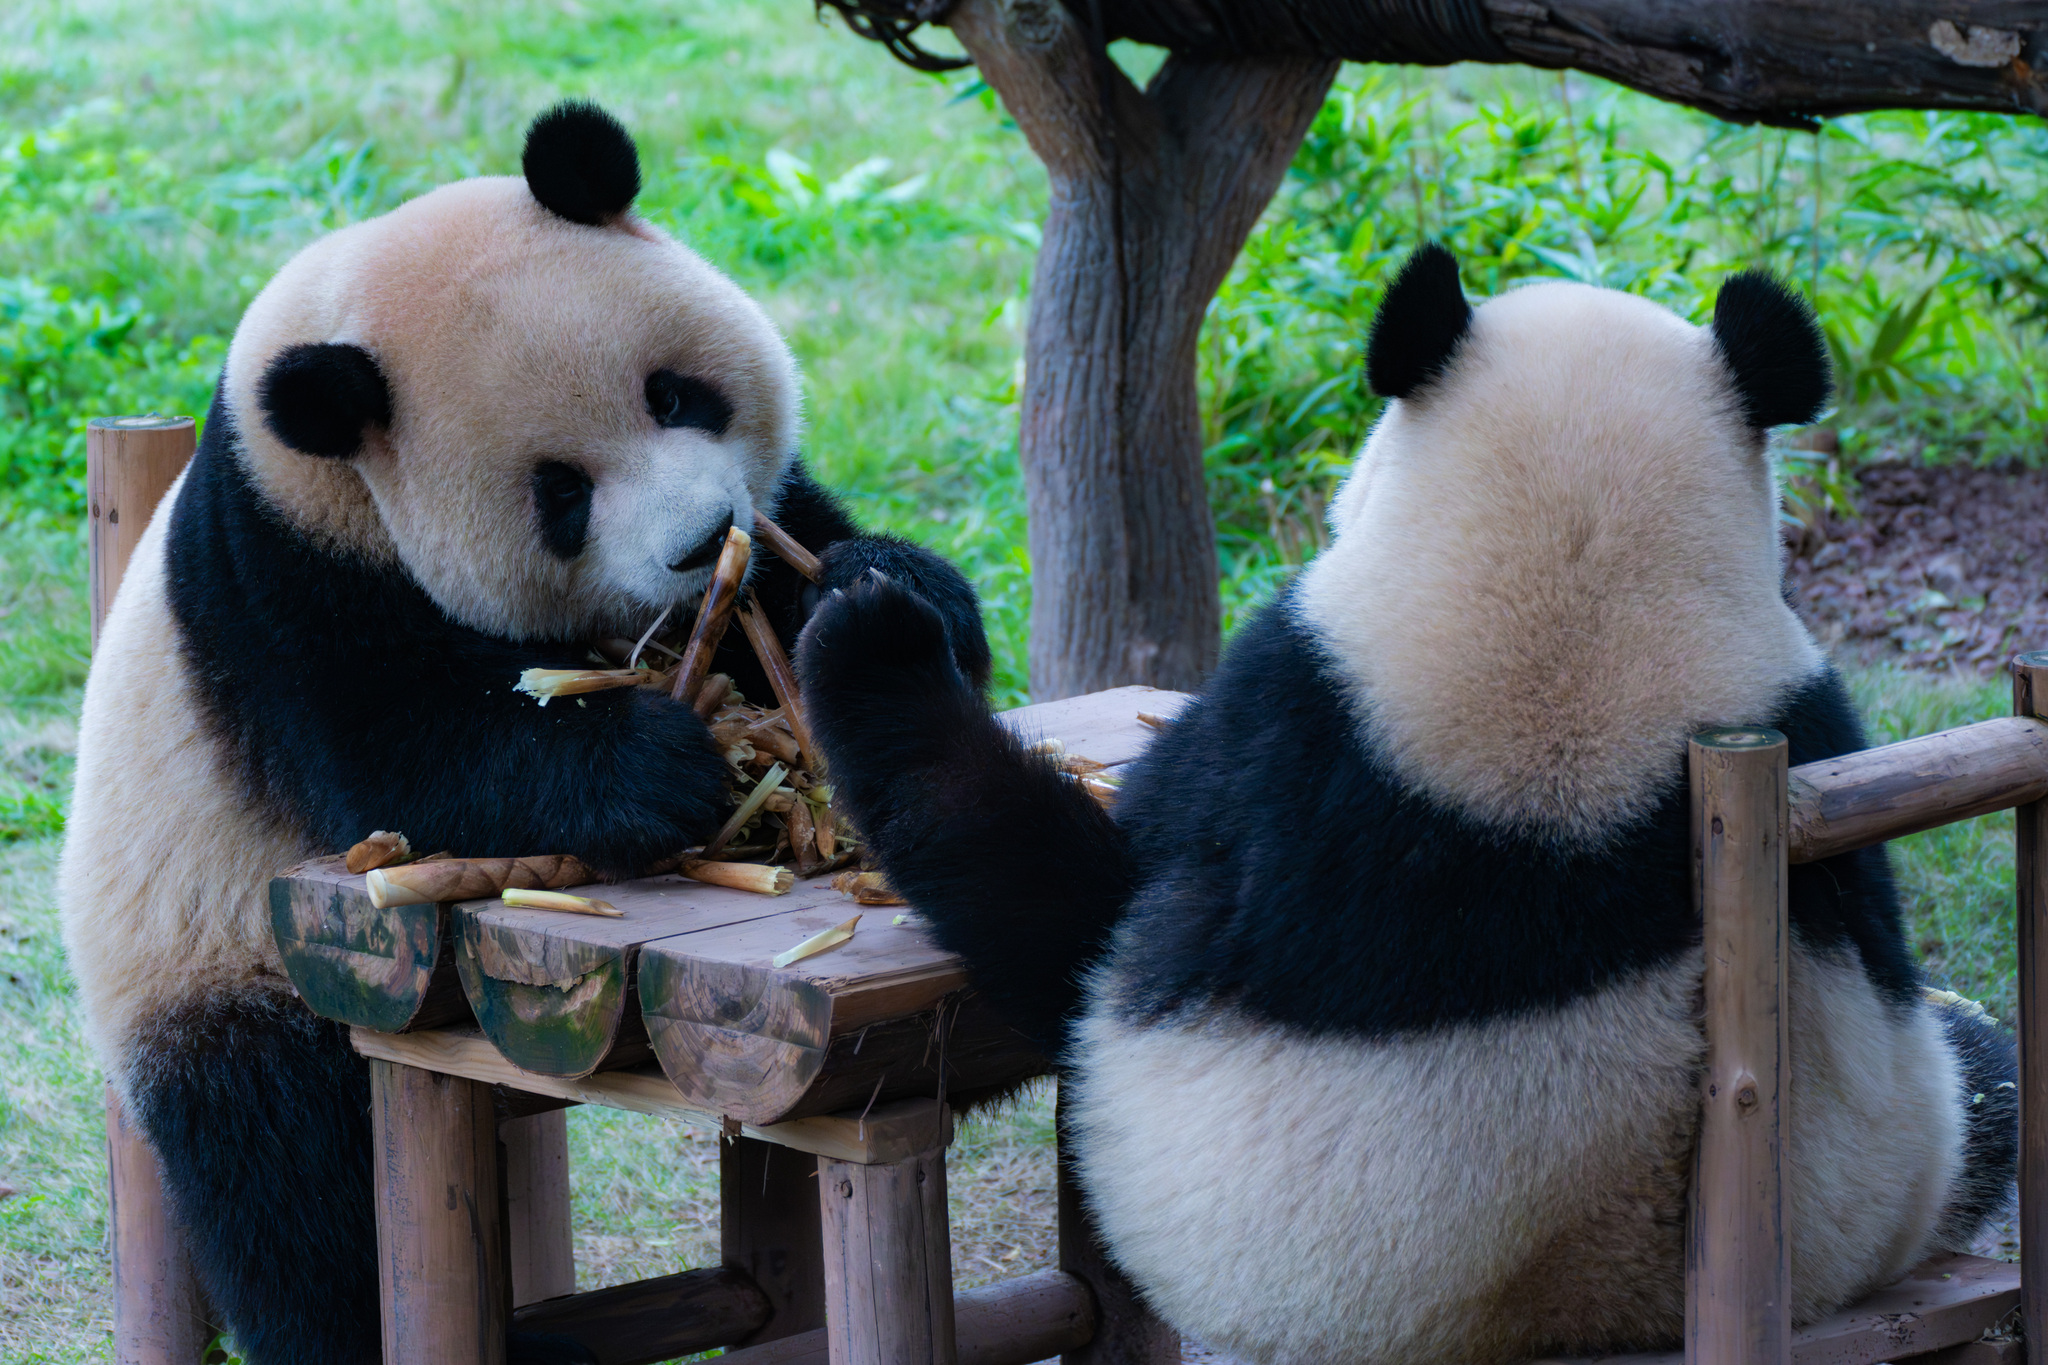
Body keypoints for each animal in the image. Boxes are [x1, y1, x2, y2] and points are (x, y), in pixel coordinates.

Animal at [59, 104, 987, 1365]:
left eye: (674, 395)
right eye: (560, 494)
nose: (696, 540)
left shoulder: (763, 514)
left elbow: (795, 579)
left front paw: (878, 603)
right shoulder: (281, 581)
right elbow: (407, 757)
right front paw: (661, 766)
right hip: (215, 967)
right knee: (288, 1175)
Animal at [794, 245, 2015, 1365]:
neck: (1581, 595)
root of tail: (1614, 1309)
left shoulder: (1278, 728)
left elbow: (1066, 915)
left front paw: (875, 641)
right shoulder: (1812, 724)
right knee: (1988, 1076)